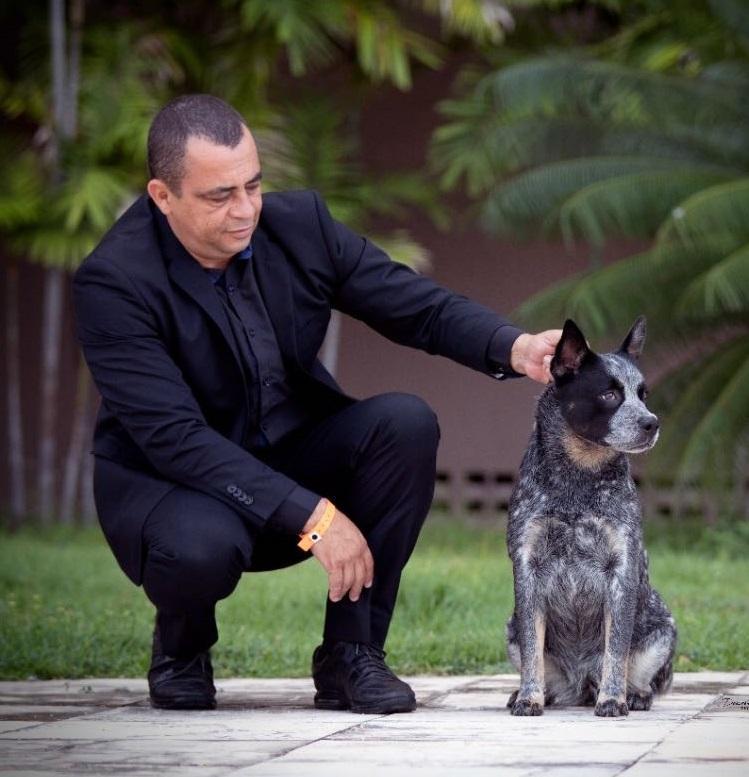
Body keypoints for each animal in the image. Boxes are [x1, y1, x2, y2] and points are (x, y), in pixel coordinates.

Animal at [506, 316, 676, 716]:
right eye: (609, 394)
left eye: (643, 394)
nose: (652, 422)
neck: (577, 478)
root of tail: (581, 684)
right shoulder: (527, 565)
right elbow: (533, 648)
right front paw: (529, 697)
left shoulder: (621, 567)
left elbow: (616, 648)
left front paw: (613, 699)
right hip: (511, 627)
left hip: (663, 628)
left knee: (640, 676)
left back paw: (633, 694)